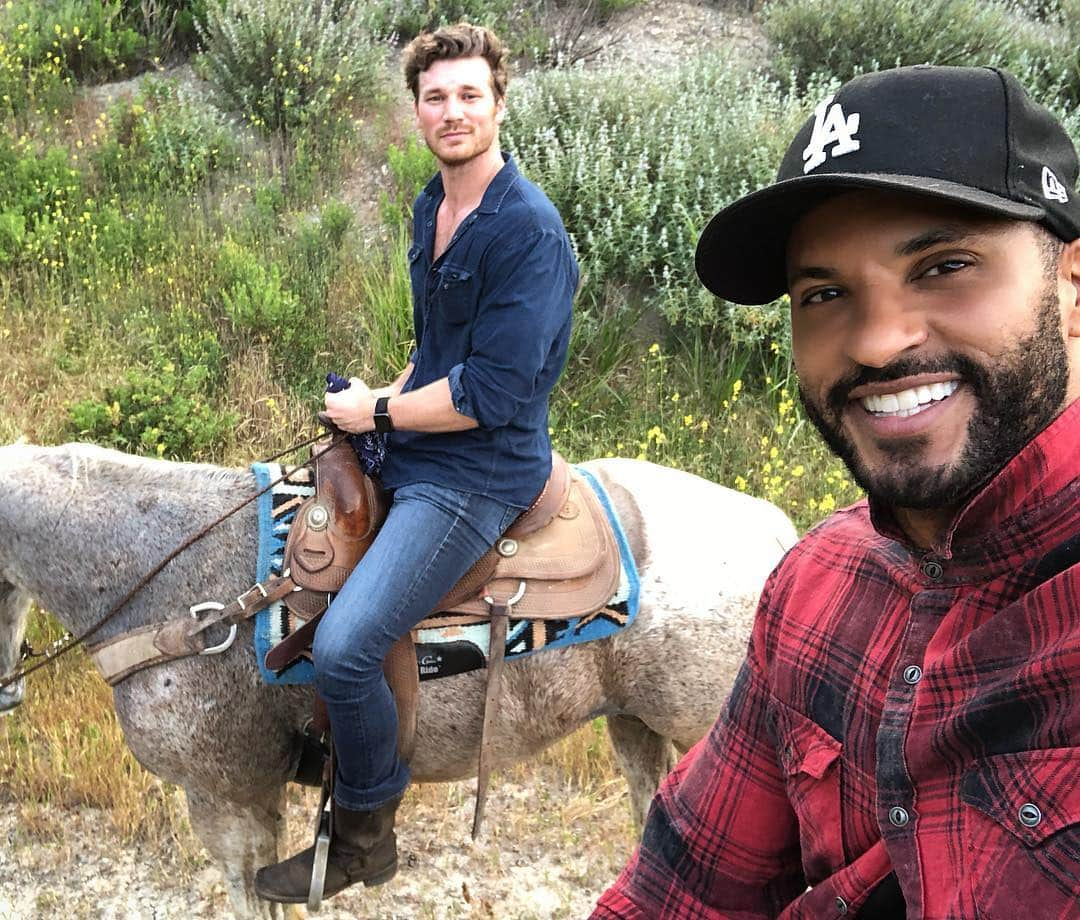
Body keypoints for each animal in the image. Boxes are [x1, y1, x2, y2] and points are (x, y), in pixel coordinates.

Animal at [0, 442, 794, 915]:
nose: (8, 691)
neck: (168, 578)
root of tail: (778, 533)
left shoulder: (225, 796)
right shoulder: (253, 801)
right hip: (636, 725)